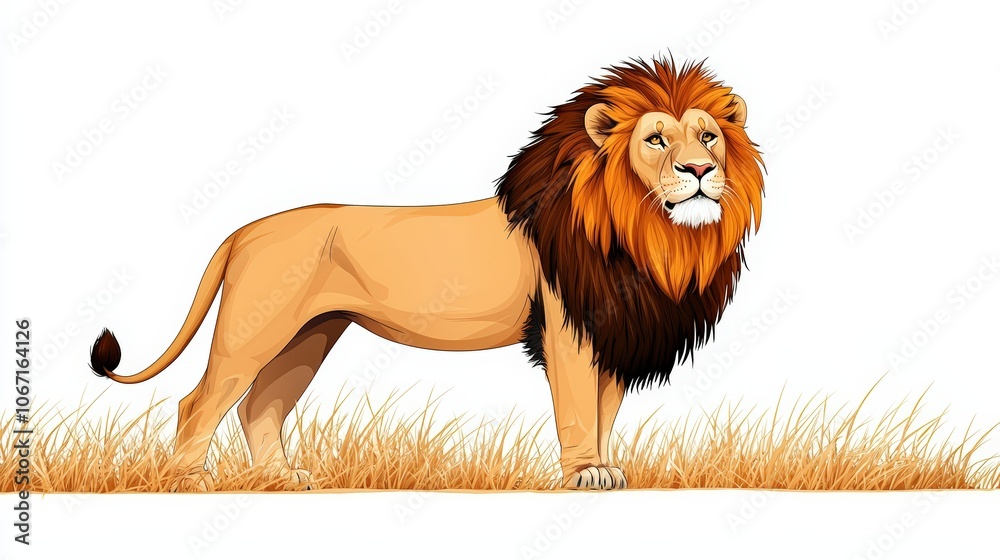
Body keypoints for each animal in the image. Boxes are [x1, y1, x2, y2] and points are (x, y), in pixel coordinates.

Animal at [89, 57, 764, 491]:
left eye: (708, 135)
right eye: (656, 140)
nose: (700, 170)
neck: (649, 236)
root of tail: (242, 231)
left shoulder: (616, 329)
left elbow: (604, 411)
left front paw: (605, 466)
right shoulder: (570, 327)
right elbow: (578, 408)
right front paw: (584, 474)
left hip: (310, 334)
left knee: (260, 406)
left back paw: (280, 478)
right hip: (255, 328)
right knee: (200, 400)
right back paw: (190, 481)